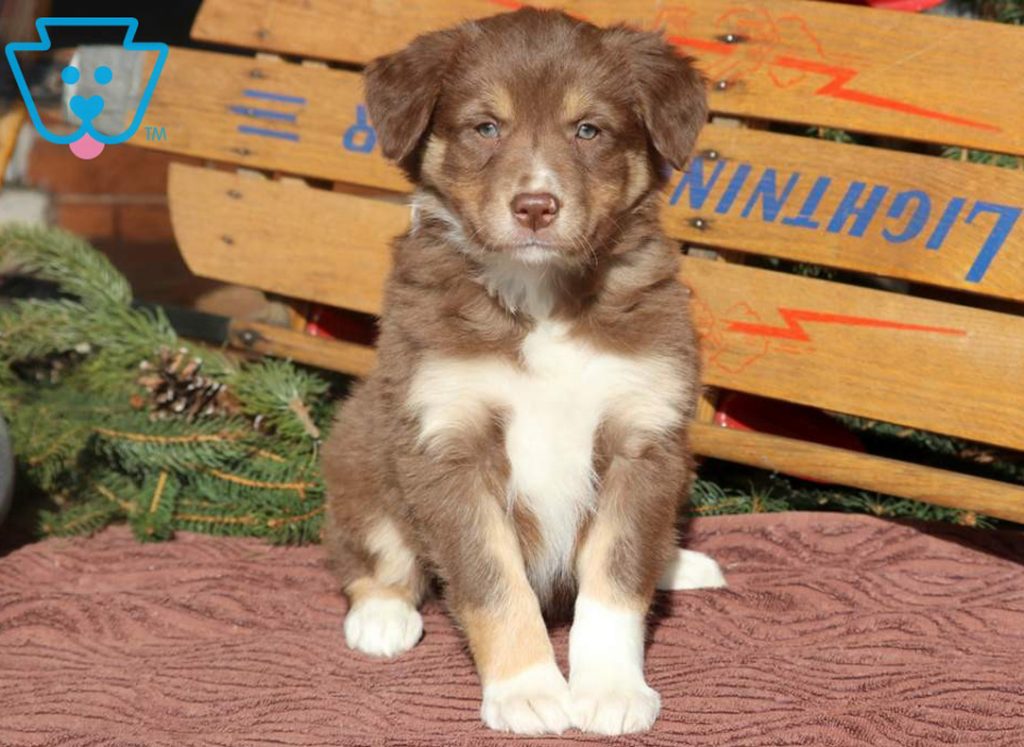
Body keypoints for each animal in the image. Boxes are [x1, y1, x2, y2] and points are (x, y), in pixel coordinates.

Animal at [323, 10, 724, 733]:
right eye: (487, 127)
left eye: (588, 129)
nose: (536, 205)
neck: (540, 300)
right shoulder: (445, 443)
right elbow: (493, 581)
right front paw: (527, 690)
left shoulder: (643, 439)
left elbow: (617, 576)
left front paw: (610, 688)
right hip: (360, 448)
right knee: (367, 547)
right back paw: (382, 614)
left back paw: (679, 561)